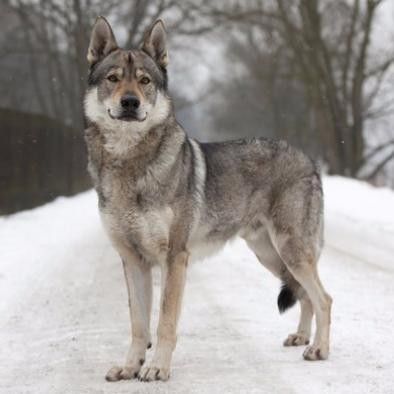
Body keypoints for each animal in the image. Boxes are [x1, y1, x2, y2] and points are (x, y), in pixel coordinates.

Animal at [84, 16, 332, 382]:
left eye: (144, 81)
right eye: (113, 78)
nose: (130, 102)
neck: (130, 164)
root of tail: (309, 160)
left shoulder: (174, 258)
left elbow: (165, 323)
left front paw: (157, 368)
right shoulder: (132, 260)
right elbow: (138, 325)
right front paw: (130, 367)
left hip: (291, 252)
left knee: (324, 298)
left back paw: (319, 350)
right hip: (272, 257)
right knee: (306, 296)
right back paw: (301, 338)